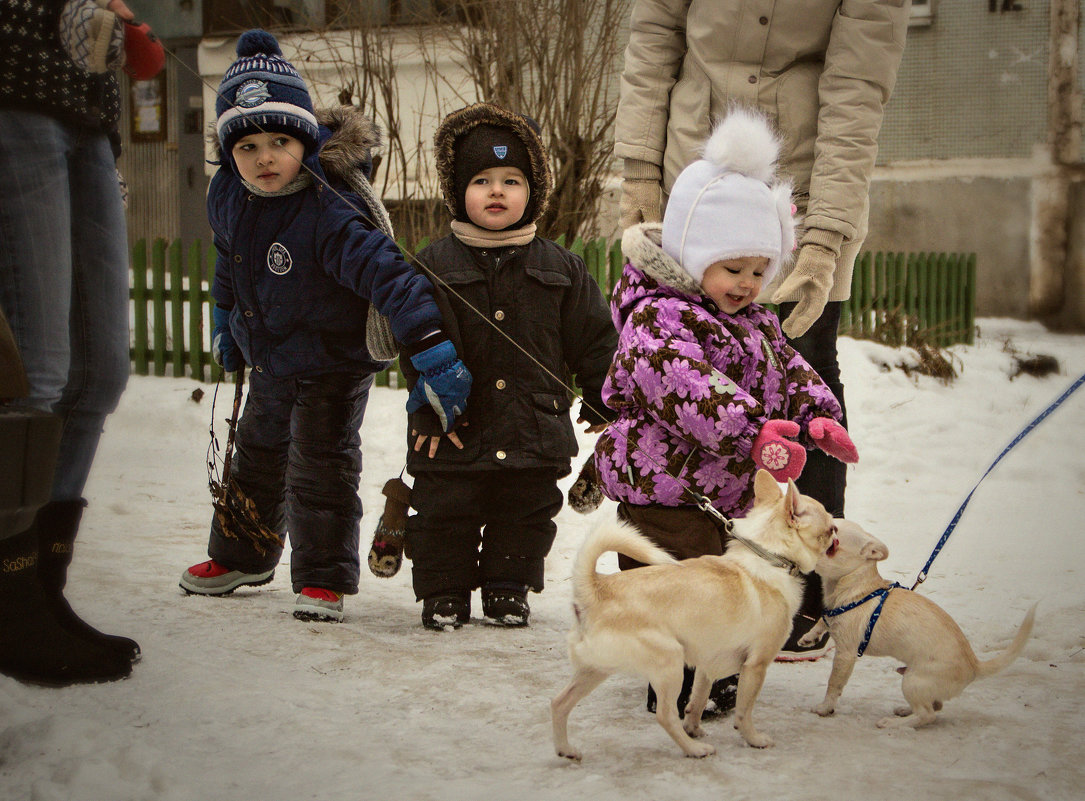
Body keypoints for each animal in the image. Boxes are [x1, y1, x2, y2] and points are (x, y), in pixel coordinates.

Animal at [551, 471, 837, 759]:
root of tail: (595, 589)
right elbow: (744, 712)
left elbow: (697, 700)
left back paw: (566, 750)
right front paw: (753, 739)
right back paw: (694, 749)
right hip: (670, 663)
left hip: (595, 670)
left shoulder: (706, 664)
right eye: (830, 528)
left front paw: (694, 727)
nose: (837, 531)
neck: (769, 557)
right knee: (665, 716)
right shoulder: (755, 665)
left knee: (559, 702)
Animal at [802, 518, 1037, 729]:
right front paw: (809, 637)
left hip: (913, 681)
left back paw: (893, 723)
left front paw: (824, 708)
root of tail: (975, 666)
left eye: (835, 535)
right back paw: (905, 711)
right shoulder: (830, 614)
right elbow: (823, 620)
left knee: (928, 715)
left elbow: (834, 684)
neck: (854, 589)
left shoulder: (846, 654)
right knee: (935, 706)